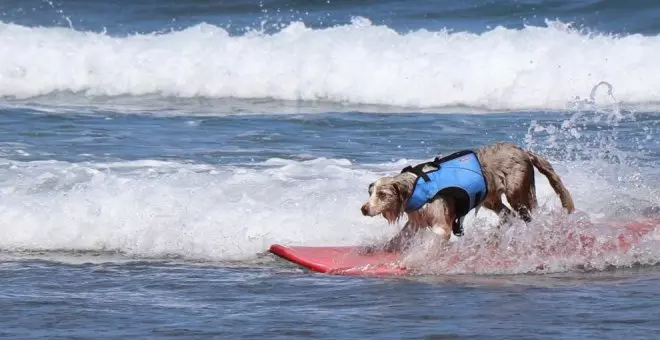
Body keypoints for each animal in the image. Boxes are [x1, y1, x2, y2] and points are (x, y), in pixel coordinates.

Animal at [360, 141, 572, 252]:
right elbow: (399, 236)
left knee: (526, 215)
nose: (363, 209)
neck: (416, 186)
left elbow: (435, 239)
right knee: (507, 215)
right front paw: (381, 248)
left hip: (517, 193)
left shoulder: (441, 225)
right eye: (371, 193)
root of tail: (523, 151)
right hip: (490, 199)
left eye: (382, 194)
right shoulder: (415, 221)